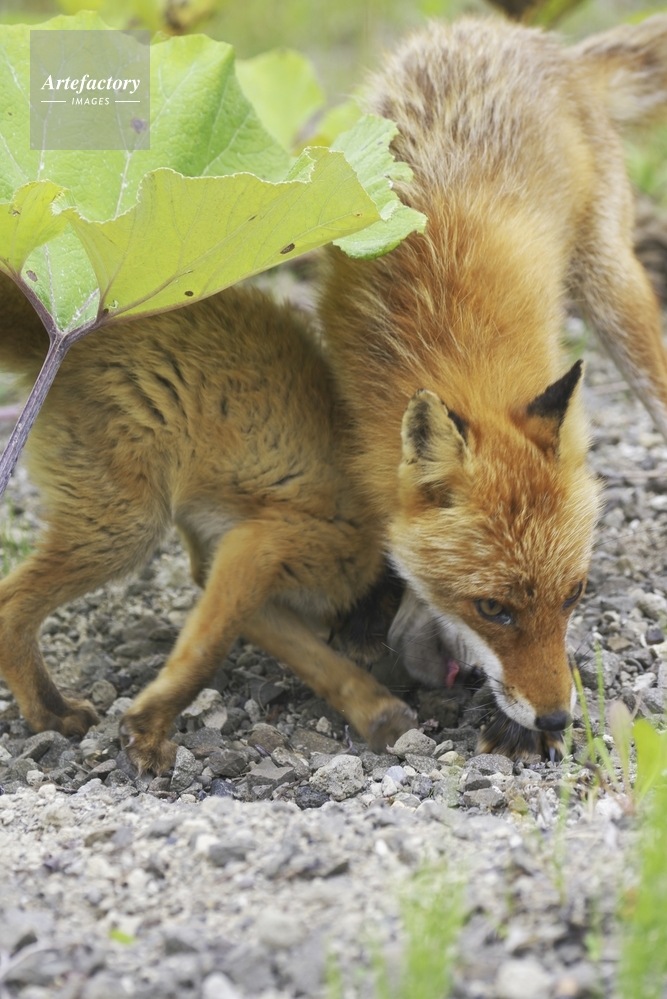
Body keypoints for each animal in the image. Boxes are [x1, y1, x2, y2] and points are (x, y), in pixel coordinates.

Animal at [0, 274, 416, 774]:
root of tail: (69, 332)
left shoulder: (228, 559)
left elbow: (323, 667)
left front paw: (376, 713)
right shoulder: (274, 545)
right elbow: (205, 655)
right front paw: (147, 729)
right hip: (126, 532)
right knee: (8, 609)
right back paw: (51, 711)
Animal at [318, 16, 667, 757]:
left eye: (575, 593)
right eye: (491, 608)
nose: (557, 720)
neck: (454, 346)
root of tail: (522, 36)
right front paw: (387, 614)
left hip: (610, 288)